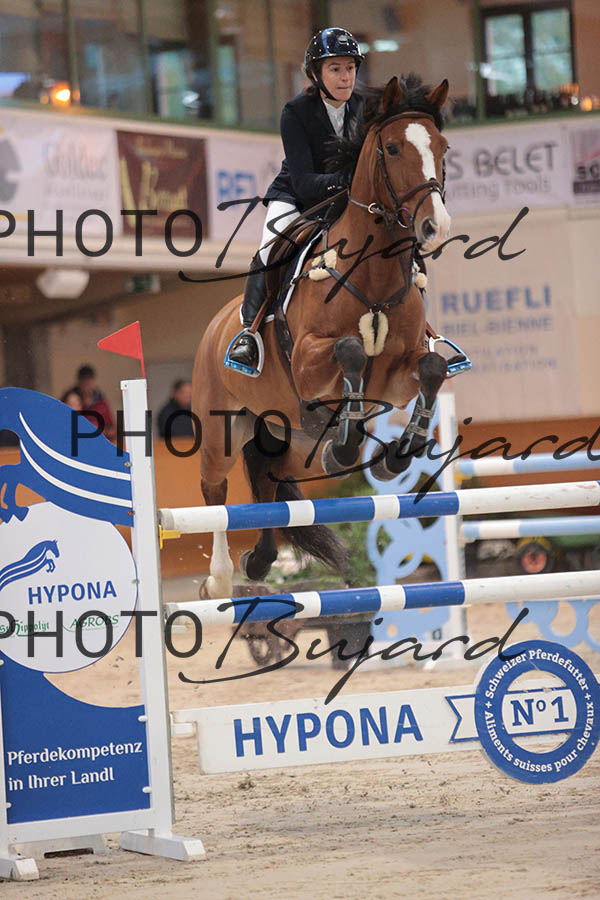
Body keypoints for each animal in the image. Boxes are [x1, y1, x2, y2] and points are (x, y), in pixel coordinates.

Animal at [192, 74, 453, 599]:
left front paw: (395, 457)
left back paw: (260, 560)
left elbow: (431, 367)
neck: (372, 274)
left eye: (442, 147)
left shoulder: (398, 377)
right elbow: (350, 350)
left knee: (270, 481)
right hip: (221, 430)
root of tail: (215, 327)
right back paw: (220, 578)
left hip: (284, 433)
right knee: (216, 492)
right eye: (392, 148)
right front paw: (347, 446)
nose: (436, 227)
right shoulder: (309, 363)